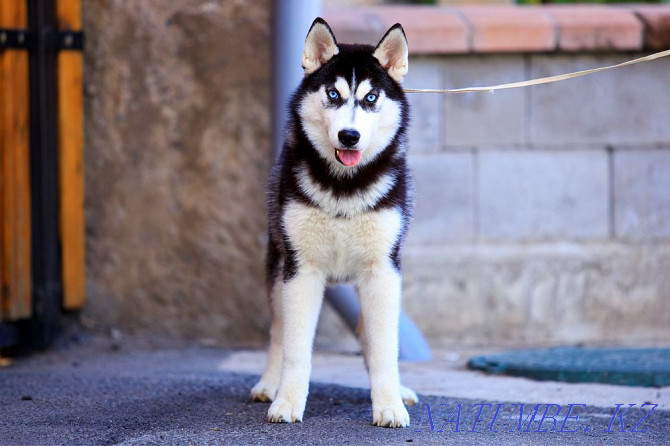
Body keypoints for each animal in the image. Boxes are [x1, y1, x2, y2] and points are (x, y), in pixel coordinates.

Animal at [253, 18, 420, 428]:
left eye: (371, 98)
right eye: (333, 93)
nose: (349, 135)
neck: (344, 187)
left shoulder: (383, 270)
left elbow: (384, 347)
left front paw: (389, 403)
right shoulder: (301, 270)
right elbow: (295, 348)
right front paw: (287, 401)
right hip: (278, 266)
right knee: (278, 331)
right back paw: (269, 384)